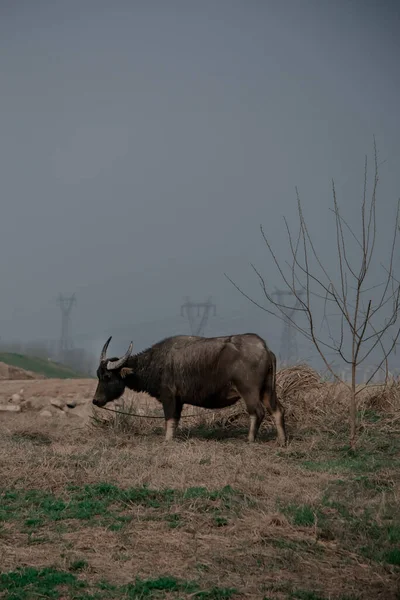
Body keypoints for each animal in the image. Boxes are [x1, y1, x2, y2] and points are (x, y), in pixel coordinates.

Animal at [93, 336, 288, 442]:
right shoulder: (179, 401)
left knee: (257, 412)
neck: (155, 363)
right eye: (98, 374)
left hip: (249, 391)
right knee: (277, 410)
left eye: (107, 376)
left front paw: (167, 440)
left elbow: (169, 419)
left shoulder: (169, 397)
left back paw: (249, 439)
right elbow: (174, 421)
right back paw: (282, 440)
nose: (95, 400)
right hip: (267, 390)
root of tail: (265, 349)